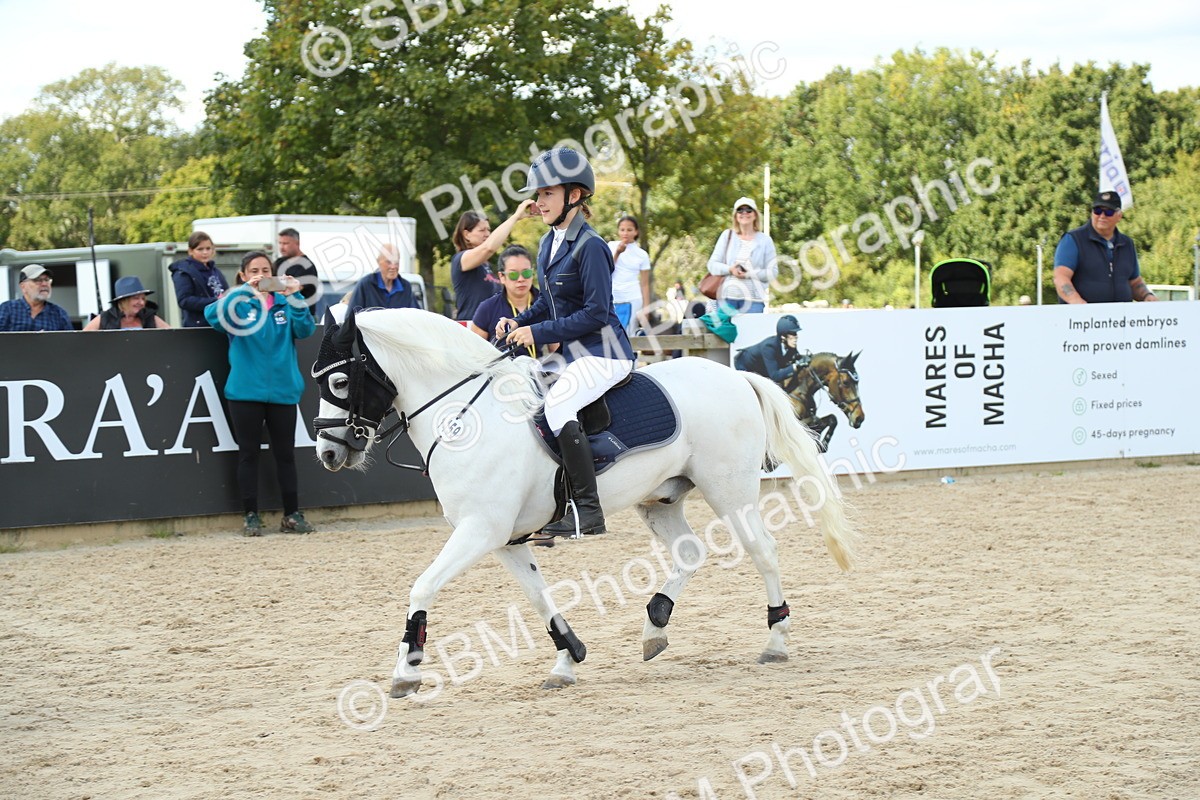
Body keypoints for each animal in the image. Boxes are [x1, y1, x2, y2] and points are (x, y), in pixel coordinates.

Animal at [310, 306, 858, 698]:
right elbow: (538, 597)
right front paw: (567, 659)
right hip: (661, 498)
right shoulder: (505, 538)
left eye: (339, 381)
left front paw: (406, 672)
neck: (465, 415)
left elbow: (422, 587)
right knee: (689, 552)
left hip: (730, 489)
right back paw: (654, 625)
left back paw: (775, 640)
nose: (328, 453)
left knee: (763, 551)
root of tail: (734, 376)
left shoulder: (480, 530)